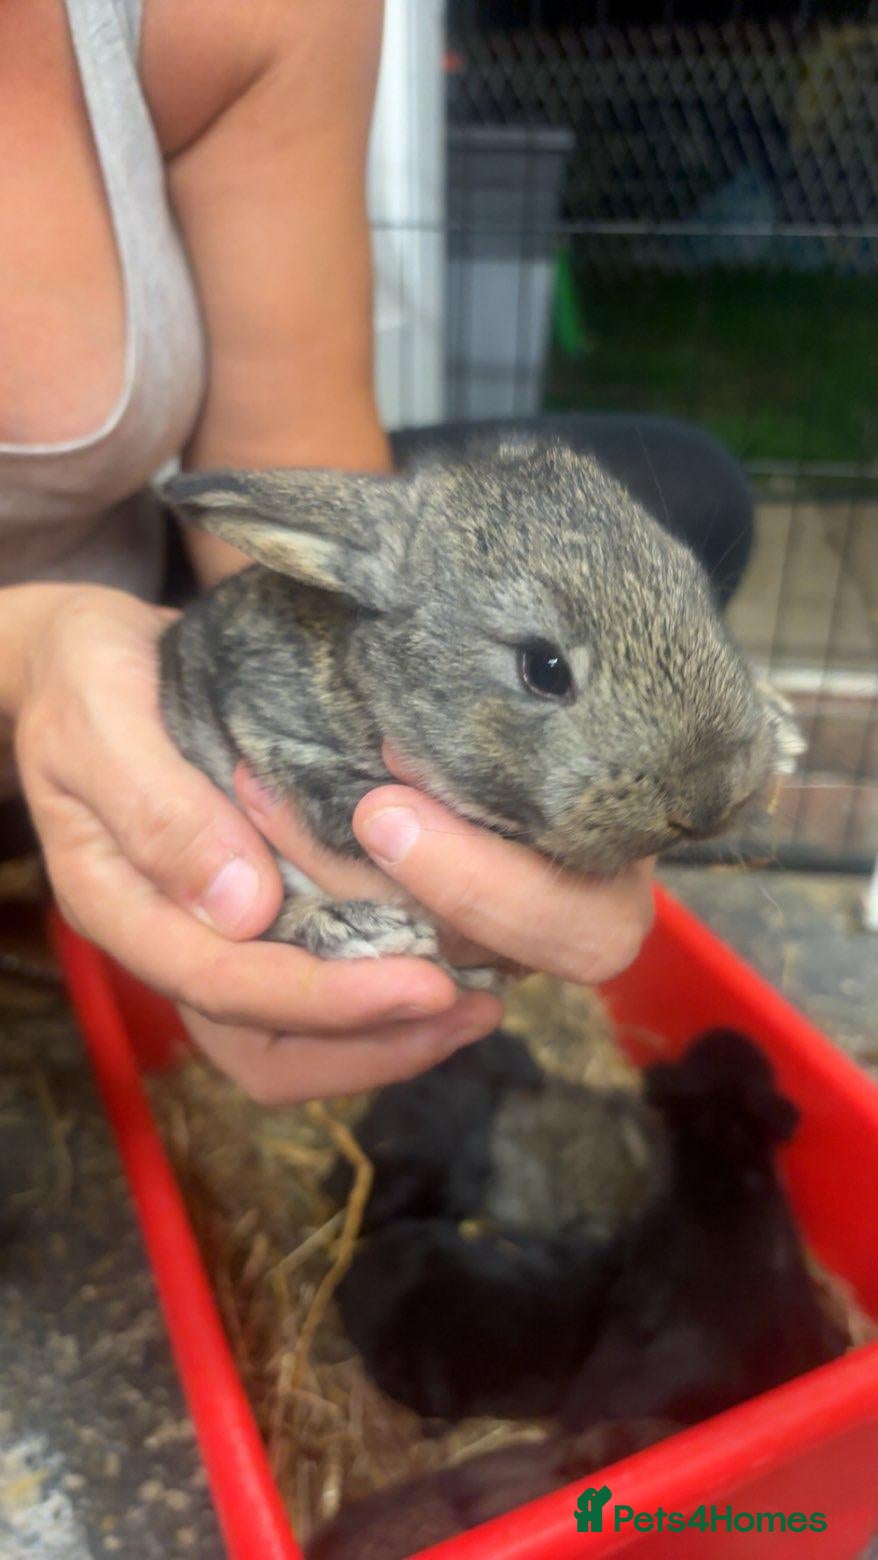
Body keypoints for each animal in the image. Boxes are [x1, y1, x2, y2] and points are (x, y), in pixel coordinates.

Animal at [159, 440, 802, 973]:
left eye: (698, 588)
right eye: (544, 668)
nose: (709, 801)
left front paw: (785, 728)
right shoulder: (286, 744)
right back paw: (358, 929)